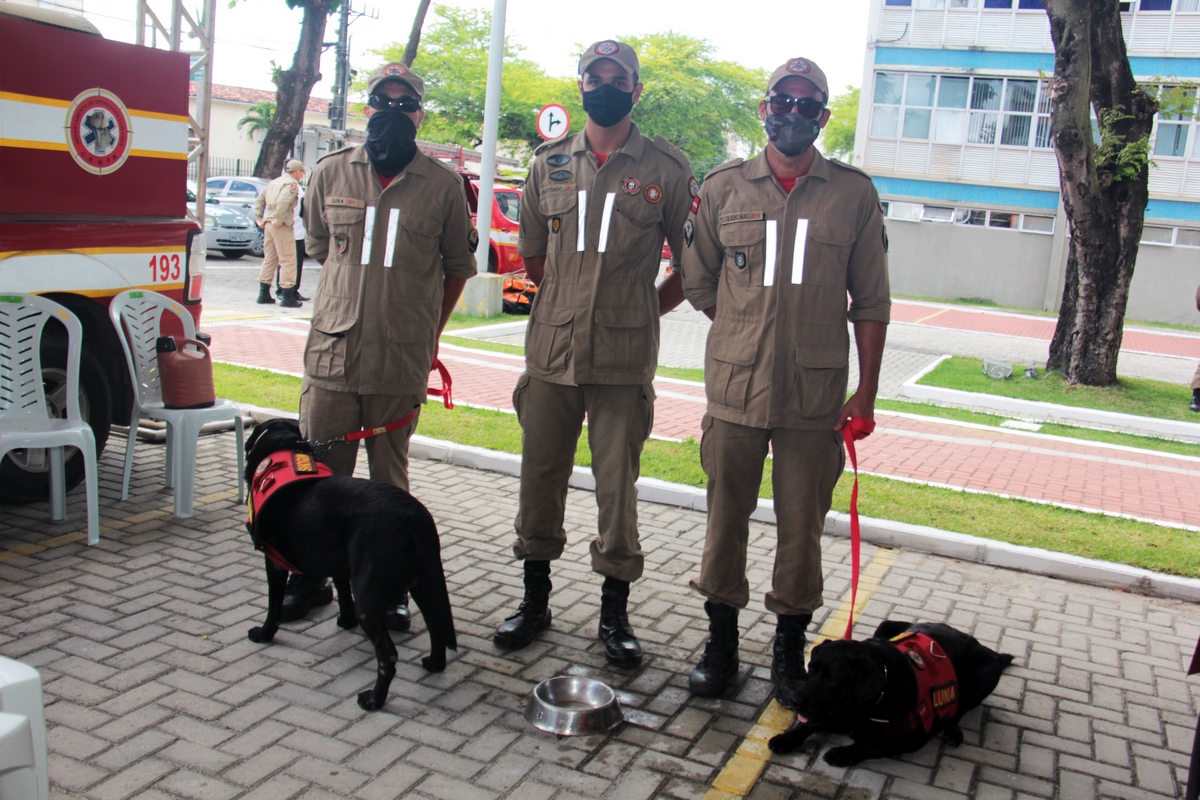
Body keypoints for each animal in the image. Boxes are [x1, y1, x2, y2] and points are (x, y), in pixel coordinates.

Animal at [241, 419, 456, 714]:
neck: (283, 449)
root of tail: (413, 515)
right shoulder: (338, 564)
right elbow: (342, 592)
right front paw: (345, 620)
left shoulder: (273, 561)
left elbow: (273, 605)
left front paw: (264, 633)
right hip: (422, 581)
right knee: (435, 625)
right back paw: (434, 664)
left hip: (368, 596)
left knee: (388, 655)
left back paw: (374, 700)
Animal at [768, 623, 1012, 767]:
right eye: (810, 669)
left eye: (831, 680)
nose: (794, 701)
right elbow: (806, 726)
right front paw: (786, 738)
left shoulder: (912, 739)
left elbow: (872, 745)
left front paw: (841, 754)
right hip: (887, 624)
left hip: (985, 672)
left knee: (961, 707)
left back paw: (953, 729)